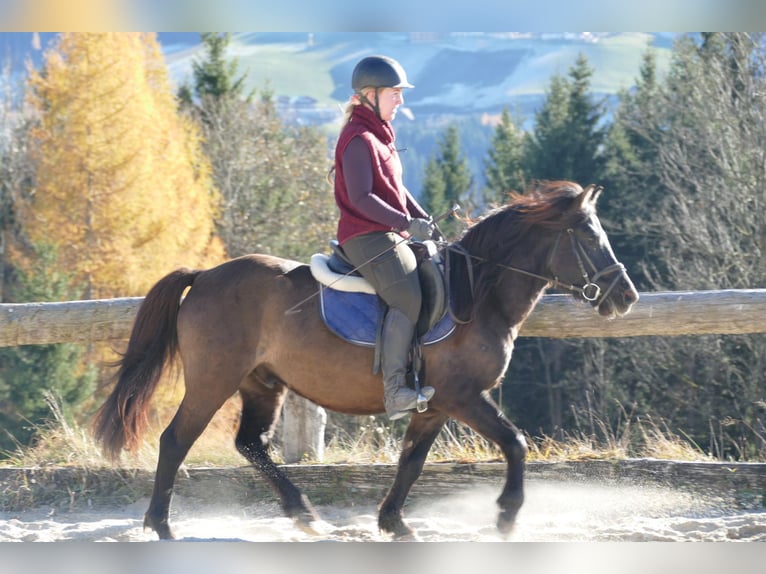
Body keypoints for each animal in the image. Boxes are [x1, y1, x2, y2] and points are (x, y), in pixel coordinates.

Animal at [93, 182, 640, 544]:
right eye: (589, 237)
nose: (627, 296)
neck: (478, 294)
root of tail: (205, 275)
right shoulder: (463, 397)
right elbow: (515, 443)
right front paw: (506, 516)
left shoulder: (433, 405)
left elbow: (411, 462)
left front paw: (393, 523)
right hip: (214, 380)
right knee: (176, 440)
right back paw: (162, 526)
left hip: (261, 383)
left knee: (250, 443)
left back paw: (303, 513)